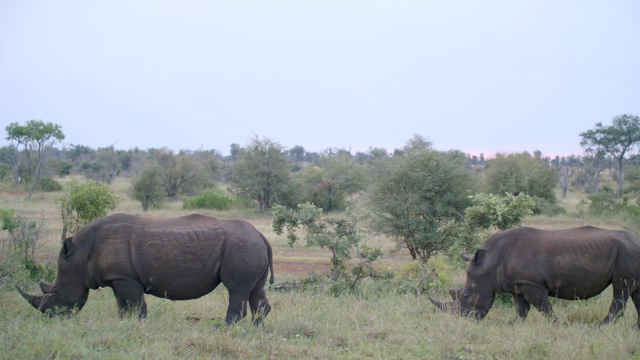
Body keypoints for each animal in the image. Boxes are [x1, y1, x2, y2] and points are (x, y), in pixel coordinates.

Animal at [17, 212, 272, 324]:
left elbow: (137, 304)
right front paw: (123, 323)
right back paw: (255, 328)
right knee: (255, 291)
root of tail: (261, 235)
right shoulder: (116, 277)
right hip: (251, 246)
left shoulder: (125, 278)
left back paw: (227, 327)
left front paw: (140, 325)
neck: (80, 256)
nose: (51, 317)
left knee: (236, 289)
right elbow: (122, 304)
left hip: (241, 247)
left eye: (55, 291)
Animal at [428, 226, 640, 328]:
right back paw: (634, 329)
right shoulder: (518, 284)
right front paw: (512, 325)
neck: (489, 263)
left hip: (627, 253)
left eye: (465, 296)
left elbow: (544, 307)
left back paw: (600, 327)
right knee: (635, 292)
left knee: (621, 290)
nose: (463, 320)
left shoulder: (531, 284)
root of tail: (636, 241)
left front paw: (557, 326)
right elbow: (522, 309)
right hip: (631, 253)